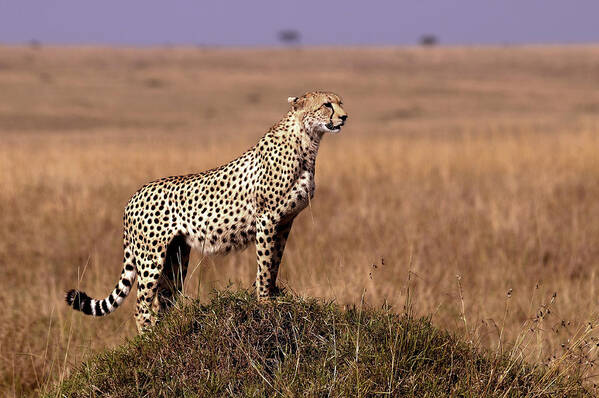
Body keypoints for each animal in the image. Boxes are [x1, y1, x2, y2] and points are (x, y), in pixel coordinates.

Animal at [66, 91, 350, 332]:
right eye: (327, 105)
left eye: (340, 102)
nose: (345, 117)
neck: (307, 141)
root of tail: (134, 195)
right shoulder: (267, 219)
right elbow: (265, 262)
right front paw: (265, 301)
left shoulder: (285, 222)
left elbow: (275, 261)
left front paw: (273, 294)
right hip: (150, 257)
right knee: (141, 306)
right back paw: (148, 339)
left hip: (175, 256)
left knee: (162, 300)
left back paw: (164, 333)